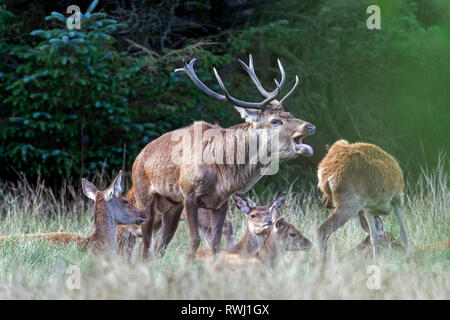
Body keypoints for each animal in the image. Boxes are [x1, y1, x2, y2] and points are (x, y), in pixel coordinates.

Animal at [131, 54, 316, 260]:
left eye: (290, 114)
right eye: (275, 121)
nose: (310, 126)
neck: (222, 174)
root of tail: (140, 155)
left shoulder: (221, 202)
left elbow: (216, 243)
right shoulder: (189, 194)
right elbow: (194, 240)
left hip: (172, 205)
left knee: (159, 245)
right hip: (143, 196)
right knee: (145, 244)